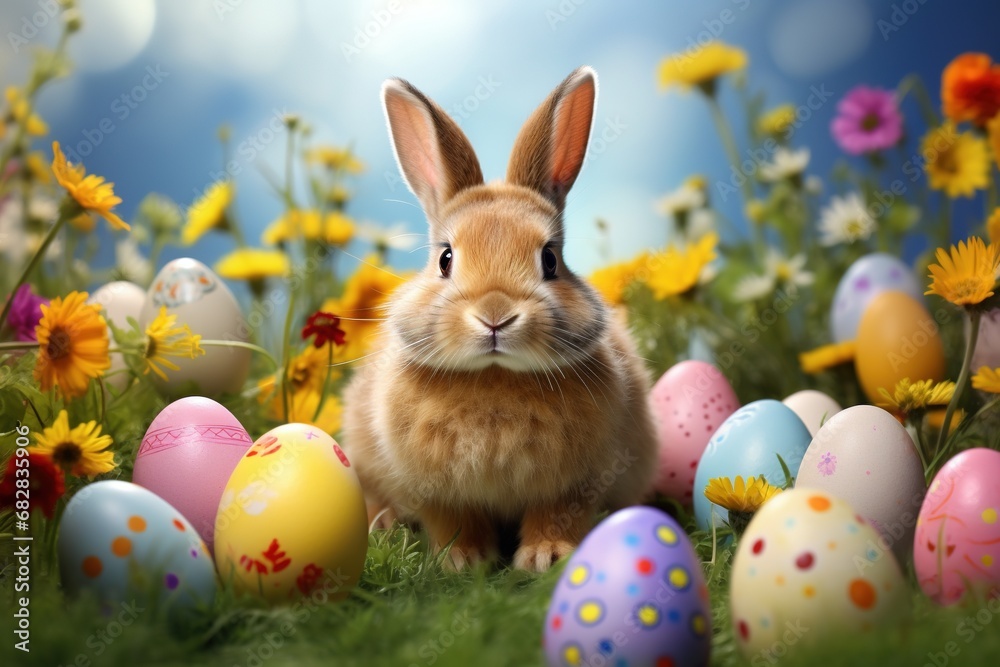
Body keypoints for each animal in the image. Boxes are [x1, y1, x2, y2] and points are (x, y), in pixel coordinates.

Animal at [341, 66, 657, 572]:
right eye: (445, 259)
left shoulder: (575, 482)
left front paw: (546, 557)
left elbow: (557, 514)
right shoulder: (436, 490)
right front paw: (464, 561)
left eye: (550, 259)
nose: (495, 317)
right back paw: (384, 523)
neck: (495, 376)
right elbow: (453, 521)